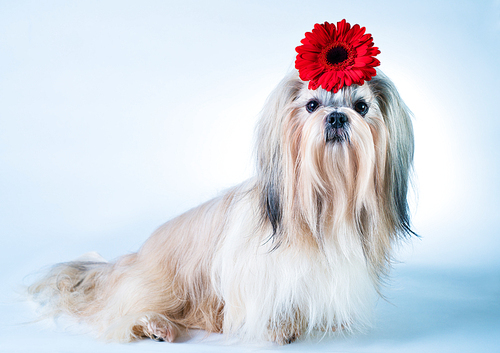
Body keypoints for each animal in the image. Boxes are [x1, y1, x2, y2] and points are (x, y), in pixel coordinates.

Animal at [29, 20, 416, 344]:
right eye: (311, 105)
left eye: (362, 106)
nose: (336, 117)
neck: (326, 202)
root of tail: (128, 260)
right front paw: (278, 329)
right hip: (162, 282)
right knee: (120, 310)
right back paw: (157, 325)